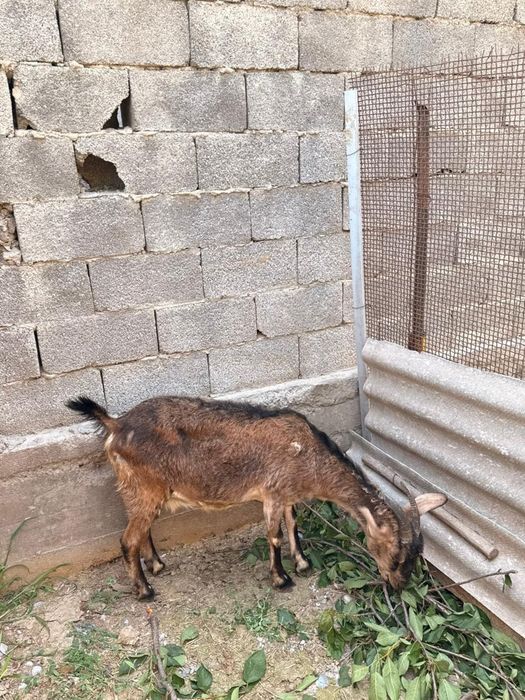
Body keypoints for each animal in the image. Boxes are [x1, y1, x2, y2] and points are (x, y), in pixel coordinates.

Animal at [67, 395, 447, 600]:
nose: (398, 584)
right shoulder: (273, 493)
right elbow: (274, 535)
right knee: (127, 539)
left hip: (145, 491)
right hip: (143, 487)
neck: (309, 456)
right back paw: (145, 590)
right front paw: (281, 579)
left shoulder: (288, 494)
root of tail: (115, 425)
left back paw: (158, 566)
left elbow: (294, 525)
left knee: (142, 531)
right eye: (396, 554)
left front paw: (303, 563)